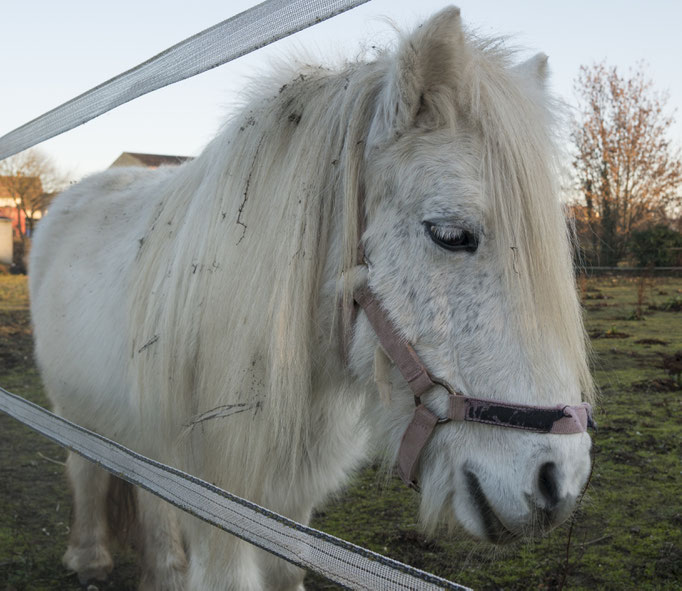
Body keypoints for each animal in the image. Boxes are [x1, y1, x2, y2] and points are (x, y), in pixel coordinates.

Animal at [31, 9, 592, 591]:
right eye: (450, 235)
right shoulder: (218, 511)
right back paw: (90, 557)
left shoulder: (286, 505)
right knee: (85, 468)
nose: (558, 482)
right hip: (73, 409)